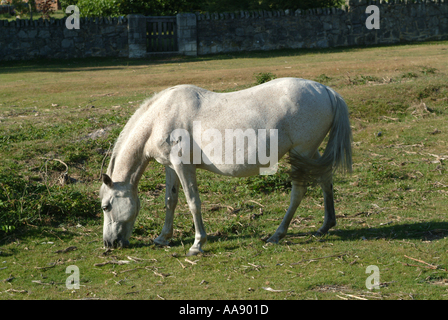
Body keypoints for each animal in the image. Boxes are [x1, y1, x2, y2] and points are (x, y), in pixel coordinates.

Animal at [100, 77, 352, 255]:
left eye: (105, 206)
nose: (109, 243)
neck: (160, 117)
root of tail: (327, 91)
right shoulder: (171, 166)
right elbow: (171, 200)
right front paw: (163, 238)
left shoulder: (184, 167)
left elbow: (193, 202)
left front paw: (197, 244)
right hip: (309, 154)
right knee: (325, 179)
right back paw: (325, 226)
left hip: (301, 152)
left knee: (298, 192)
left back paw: (277, 235)